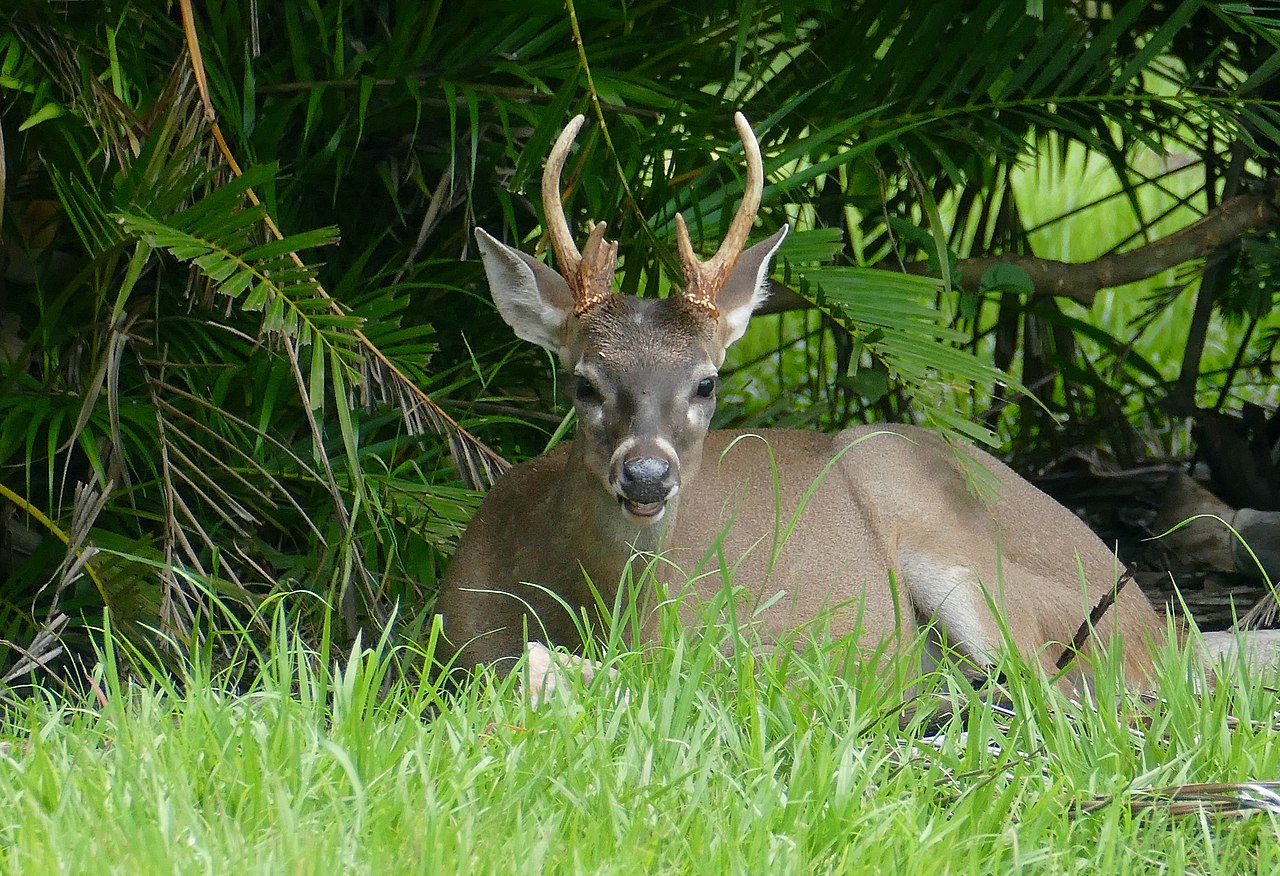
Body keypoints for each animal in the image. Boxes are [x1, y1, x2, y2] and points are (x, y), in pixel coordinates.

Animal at [431, 112, 1275, 697]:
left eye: (707, 381)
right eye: (583, 381)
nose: (646, 476)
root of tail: (1156, 619)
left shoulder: (708, 641)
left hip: (964, 544)